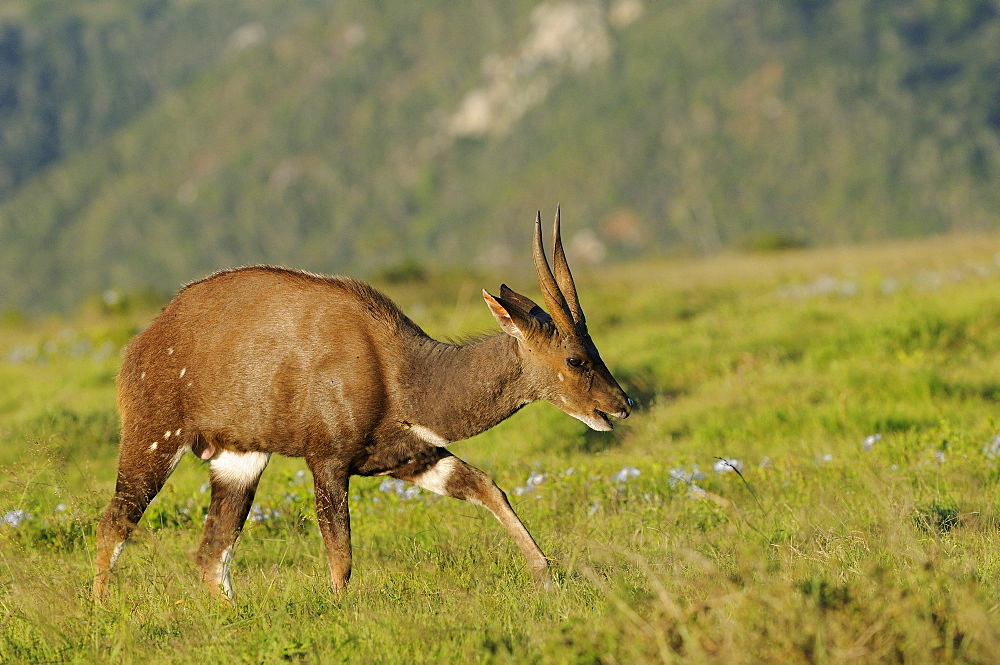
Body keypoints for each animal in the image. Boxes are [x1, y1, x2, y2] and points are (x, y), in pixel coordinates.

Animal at [92, 206, 624, 596]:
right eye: (575, 358)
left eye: (594, 347)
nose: (621, 405)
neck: (403, 372)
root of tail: (137, 348)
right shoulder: (328, 460)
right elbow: (341, 553)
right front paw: (338, 610)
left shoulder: (411, 457)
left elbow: (486, 486)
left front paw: (546, 576)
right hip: (154, 440)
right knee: (114, 523)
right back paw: (102, 612)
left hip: (238, 460)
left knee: (209, 554)